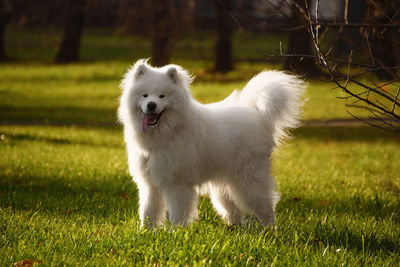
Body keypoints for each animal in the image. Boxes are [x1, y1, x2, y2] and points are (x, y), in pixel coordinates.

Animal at [118, 59, 304, 229]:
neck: (166, 132)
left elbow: (177, 212)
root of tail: (257, 114)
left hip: (249, 182)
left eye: (162, 96)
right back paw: (234, 229)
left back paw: (268, 231)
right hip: (224, 186)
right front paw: (146, 231)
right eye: (145, 95)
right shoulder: (150, 184)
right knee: (233, 211)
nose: (151, 105)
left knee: (267, 207)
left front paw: (176, 232)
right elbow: (149, 211)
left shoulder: (177, 183)